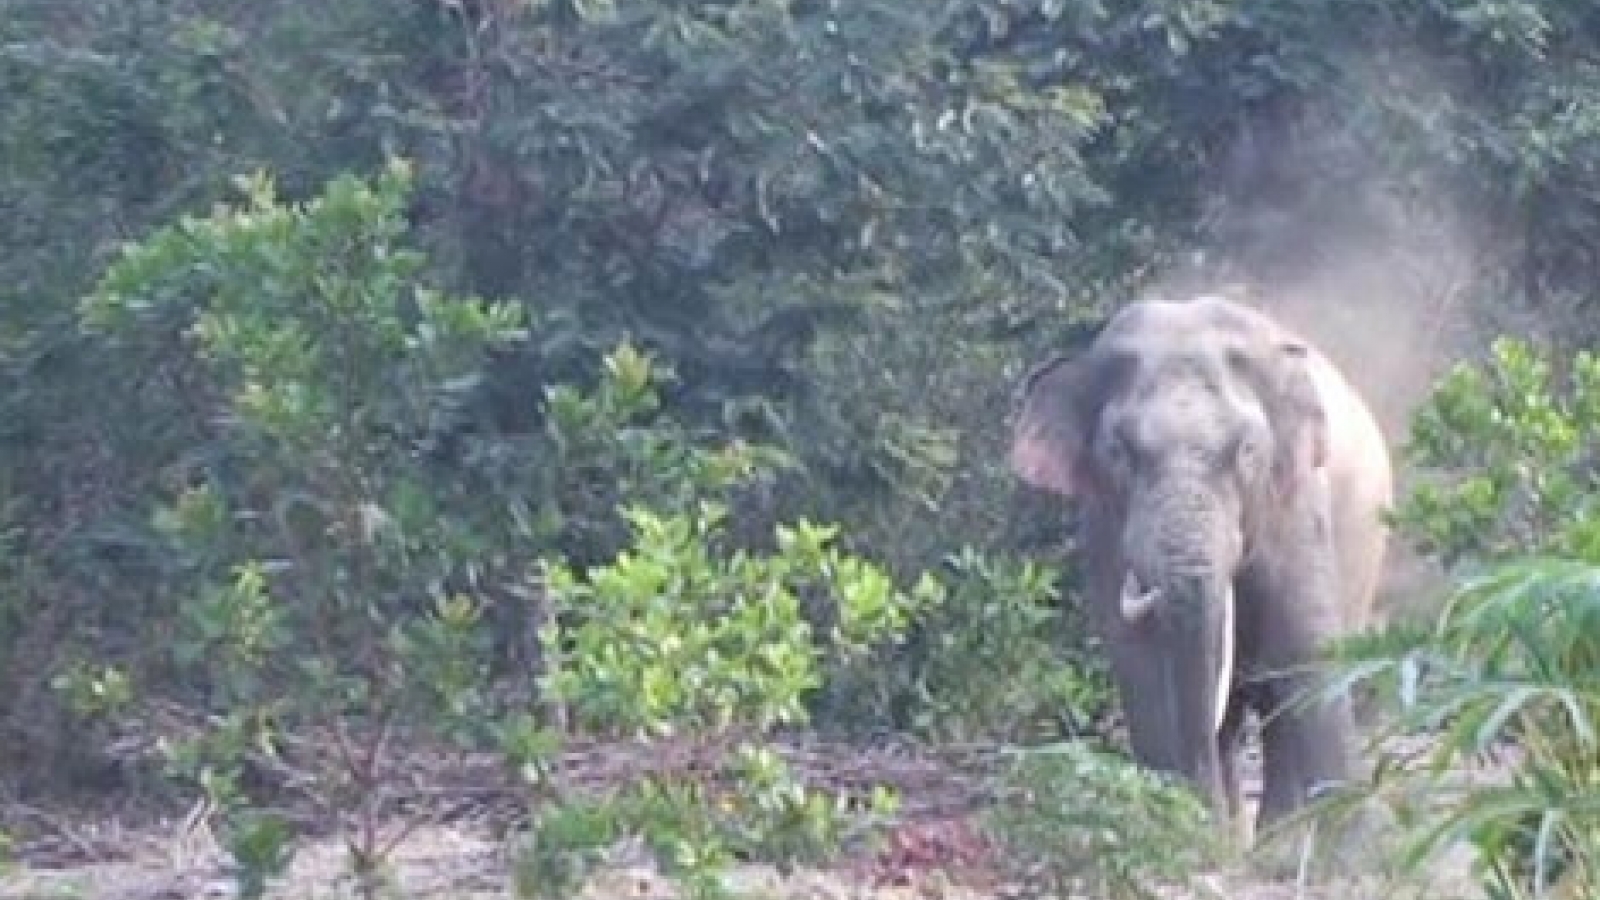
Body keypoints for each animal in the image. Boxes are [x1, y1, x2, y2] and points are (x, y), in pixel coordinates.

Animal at [1009, 295, 1393, 838]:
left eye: (1247, 451)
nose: (1198, 806)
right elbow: (1139, 660)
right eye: (1119, 451)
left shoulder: (1295, 503)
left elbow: (1306, 643)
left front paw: (1358, 846)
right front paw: (1187, 836)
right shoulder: (1102, 523)